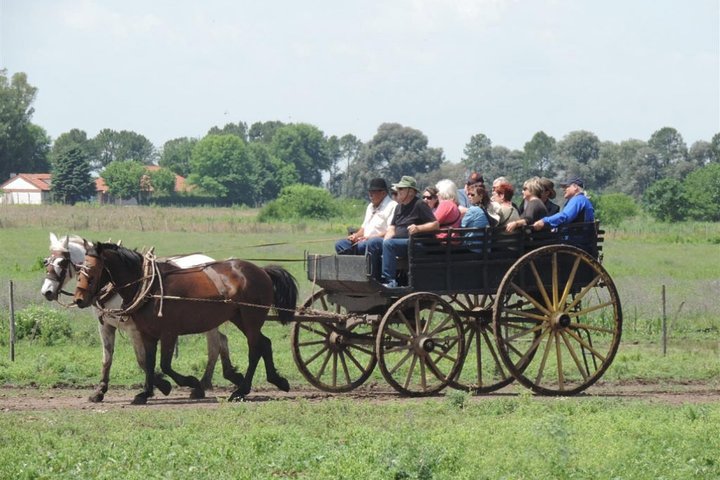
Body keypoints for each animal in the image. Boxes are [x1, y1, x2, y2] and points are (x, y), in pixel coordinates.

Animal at [73, 242, 298, 404]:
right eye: (78, 270)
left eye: (91, 271)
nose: (79, 299)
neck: (150, 286)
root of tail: (261, 270)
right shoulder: (147, 334)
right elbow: (148, 362)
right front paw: (145, 393)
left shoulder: (168, 332)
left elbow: (164, 364)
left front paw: (190, 382)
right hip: (240, 318)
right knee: (264, 344)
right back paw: (277, 381)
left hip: (251, 318)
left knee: (254, 349)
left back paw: (240, 391)